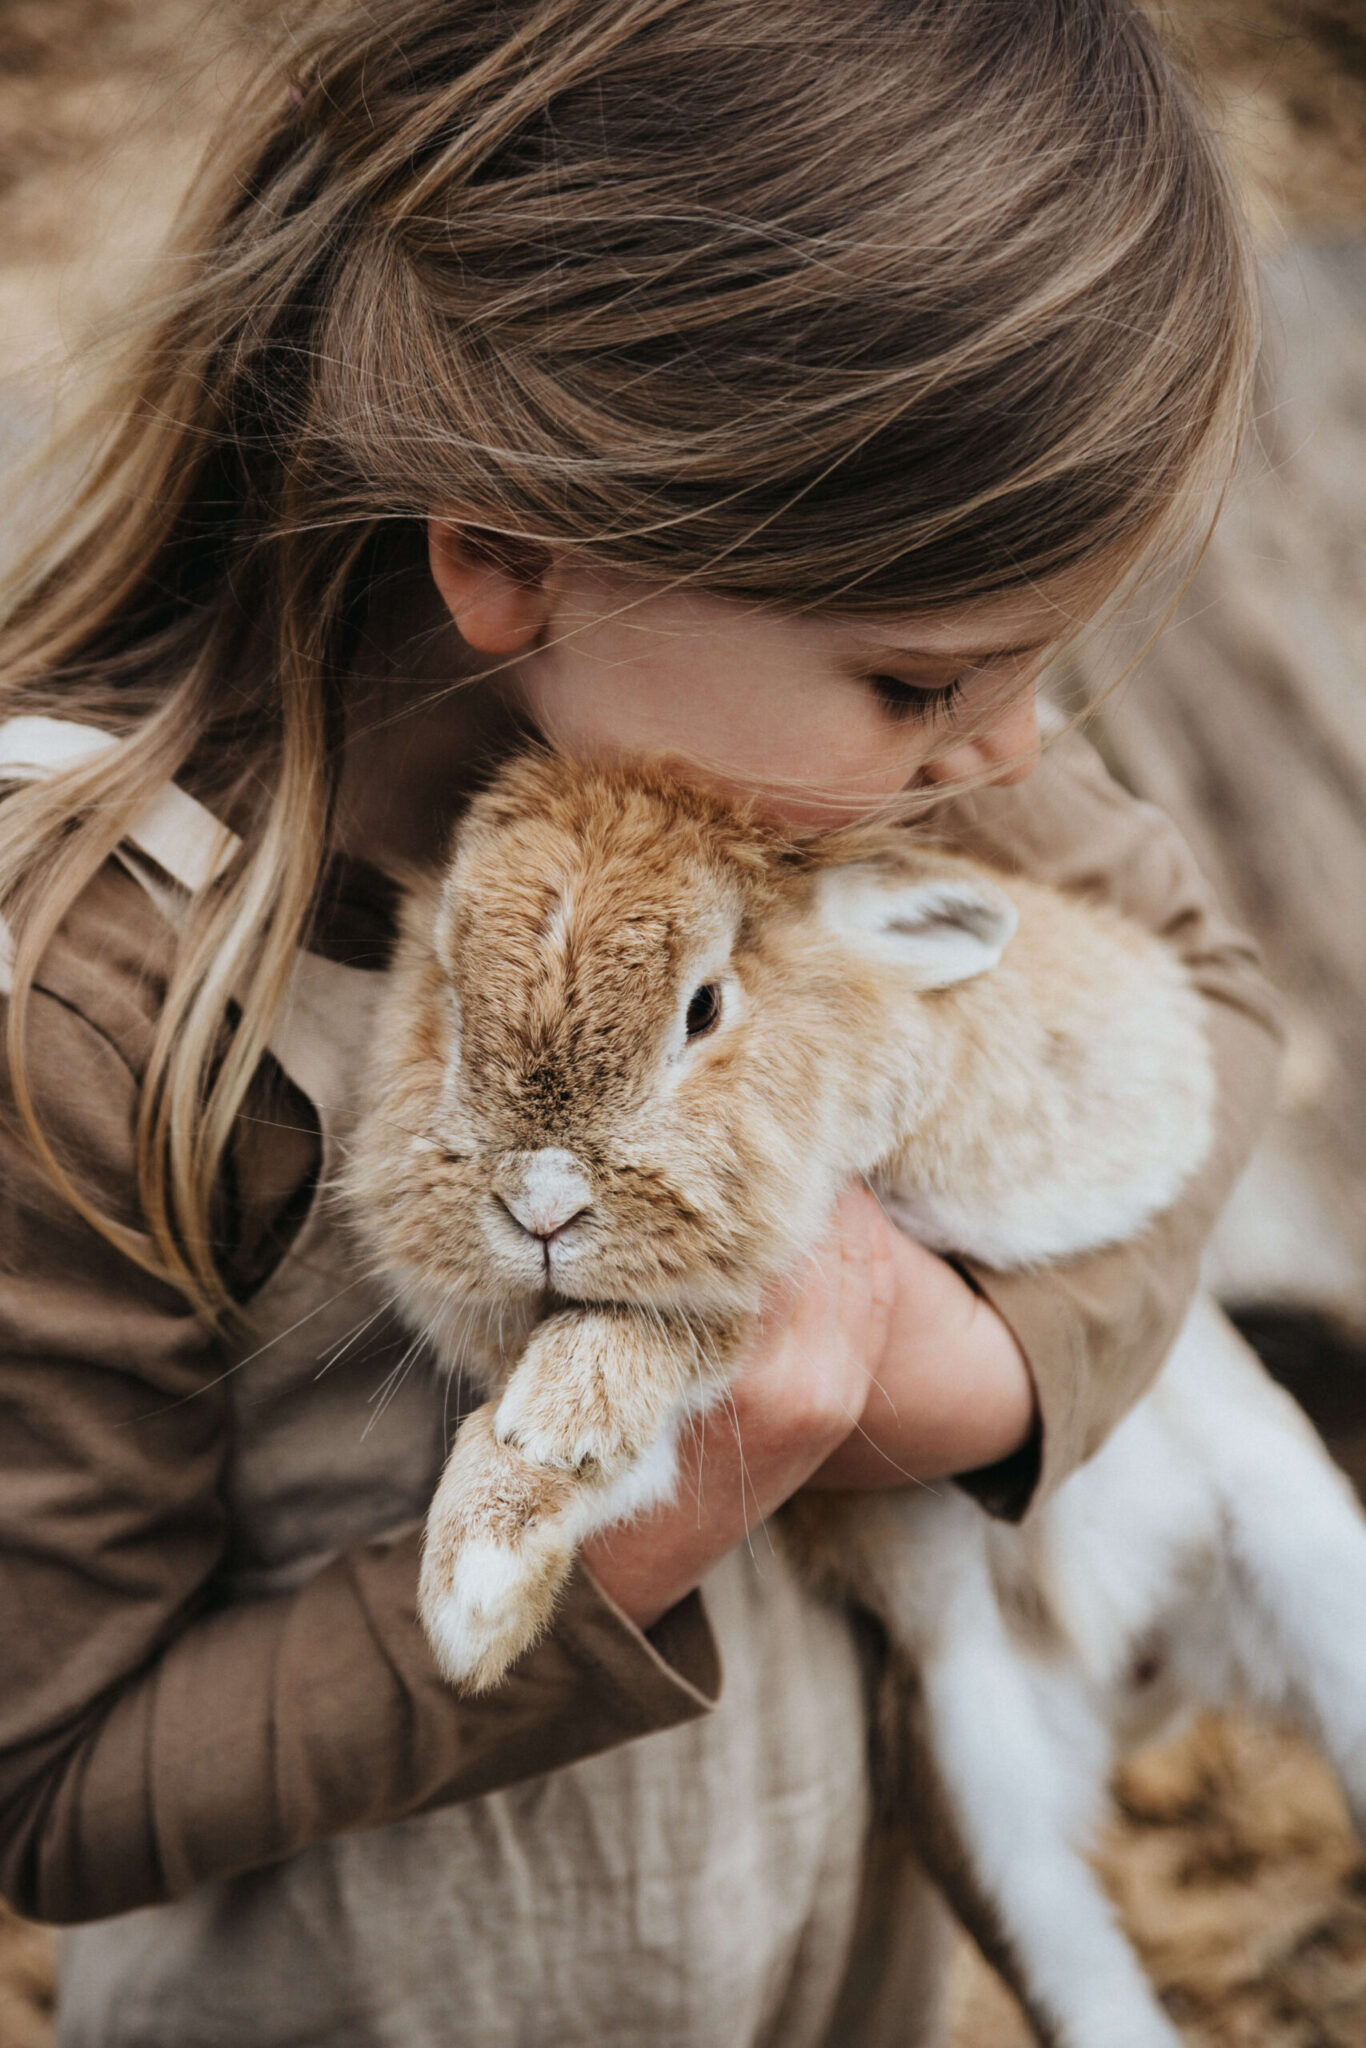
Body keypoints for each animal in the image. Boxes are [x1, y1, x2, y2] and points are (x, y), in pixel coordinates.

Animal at [343, 751, 1366, 2048]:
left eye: (704, 1006)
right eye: (447, 993)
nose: (540, 1201)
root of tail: (1141, 1667)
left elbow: (702, 1296)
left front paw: (484, 1570)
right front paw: (483, 1588)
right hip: (974, 1773)